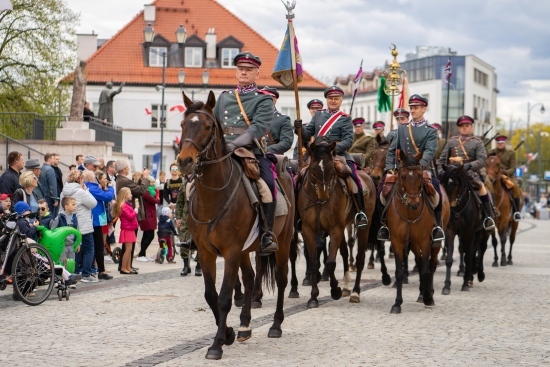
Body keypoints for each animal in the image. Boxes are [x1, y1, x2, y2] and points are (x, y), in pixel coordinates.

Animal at [177, 90, 298, 360]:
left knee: (282, 279)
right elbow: (211, 295)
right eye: (183, 124)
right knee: (251, 278)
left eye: (208, 126)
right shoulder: (206, 252)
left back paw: (276, 325)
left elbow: (224, 297)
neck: (214, 195)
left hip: (283, 241)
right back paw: (244, 326)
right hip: (245, 249)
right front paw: (229, 333)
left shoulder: (231, 251)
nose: (184, 161)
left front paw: (216, 345)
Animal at [300, 136, 386, 308]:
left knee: (359, 258)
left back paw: (355, 292)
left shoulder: (335, 228)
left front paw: (335, 291)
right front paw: (313, 297)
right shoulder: (308, 229)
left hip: (363, 226)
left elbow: (330, 262)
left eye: (331, 168)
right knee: (346, 253)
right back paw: (346, 287)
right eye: (314, 169)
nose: (324, 195)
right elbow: (314, 261)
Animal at [386, 151, 450, 314]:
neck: (409, 212)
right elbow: (400, 272)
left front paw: (428, 297)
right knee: (420, 263)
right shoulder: (397, 241)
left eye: (420, 175)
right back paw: (421, 293)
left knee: (431, 264)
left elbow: (427, 270)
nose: (414, 203)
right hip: (413, 243)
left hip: (434, 242)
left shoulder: (425, 241)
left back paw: (428, 293)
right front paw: (397, 303)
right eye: (402, 176)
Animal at [440, 162, 492, 294]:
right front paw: (446, 286)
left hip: (483, 232)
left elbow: (468, 256)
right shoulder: (451, 232)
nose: (447, 206)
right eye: (442, 182)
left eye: (455, 183)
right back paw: (471, 276)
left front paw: (465, 284)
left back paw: (478, 274)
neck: (459, 209)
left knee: (481, 249)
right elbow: (449, 259)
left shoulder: (469, 233)